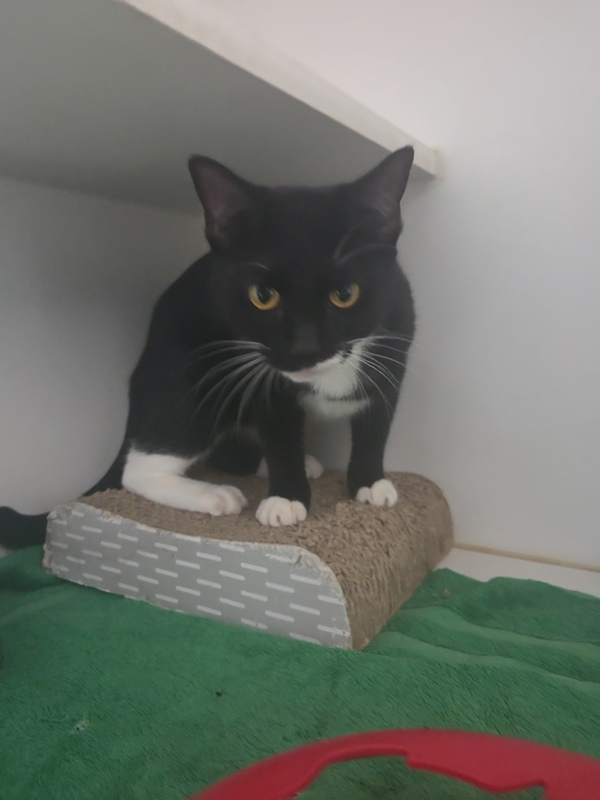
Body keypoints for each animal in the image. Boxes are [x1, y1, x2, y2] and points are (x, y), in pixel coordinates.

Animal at [0, 146, 416, 547]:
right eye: (262, 296)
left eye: (345, 293)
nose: (304, 349)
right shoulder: (260, 378)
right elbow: (279, 435)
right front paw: (286, 497)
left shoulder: (395, 351)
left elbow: (376, 425)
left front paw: (370, 482)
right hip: (191, 378)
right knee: (140, 467)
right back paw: (215, 494)